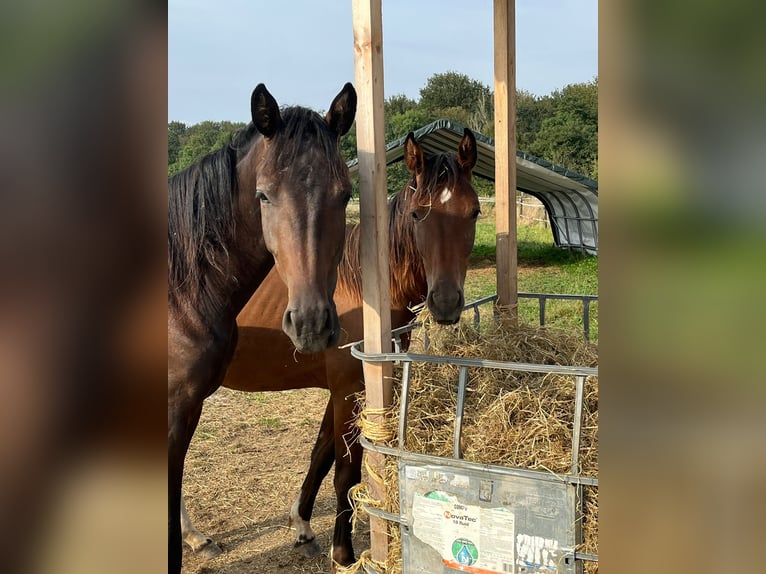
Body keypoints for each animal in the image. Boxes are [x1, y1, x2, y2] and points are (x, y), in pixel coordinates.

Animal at [182, 129, 480, 572]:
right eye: (416, 215)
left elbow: (320, 455)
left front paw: (303, 526)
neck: (362, 287)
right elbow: (345, 471)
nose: (445, 302)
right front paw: (343, 551)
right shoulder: (348, 389)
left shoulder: (340, 390)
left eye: (473, 212)